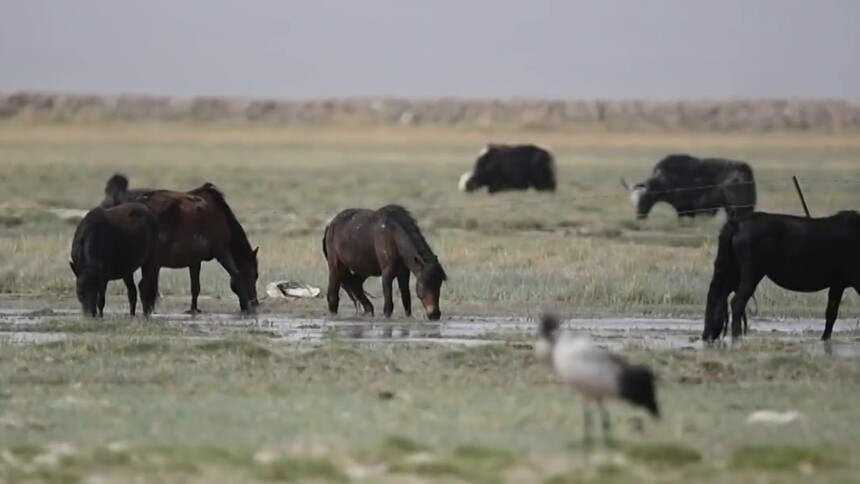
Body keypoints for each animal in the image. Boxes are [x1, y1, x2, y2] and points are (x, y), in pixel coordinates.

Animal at [100, 174, 259, 314]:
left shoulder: (195, 259)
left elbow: (195, 286)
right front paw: (245, 307)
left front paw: (194, 309)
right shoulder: (221, 249)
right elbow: (236, 274)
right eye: (254, 275)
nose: (255, 303)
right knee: (143, 286)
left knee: (135, 287)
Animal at [702, 210, 860, 343]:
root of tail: (738, 224)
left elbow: (831, 313)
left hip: (731, 272)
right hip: (751, 274)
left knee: (717, 297)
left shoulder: (837, 284)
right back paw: (737, 338)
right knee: (737, 302)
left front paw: (824, 339)